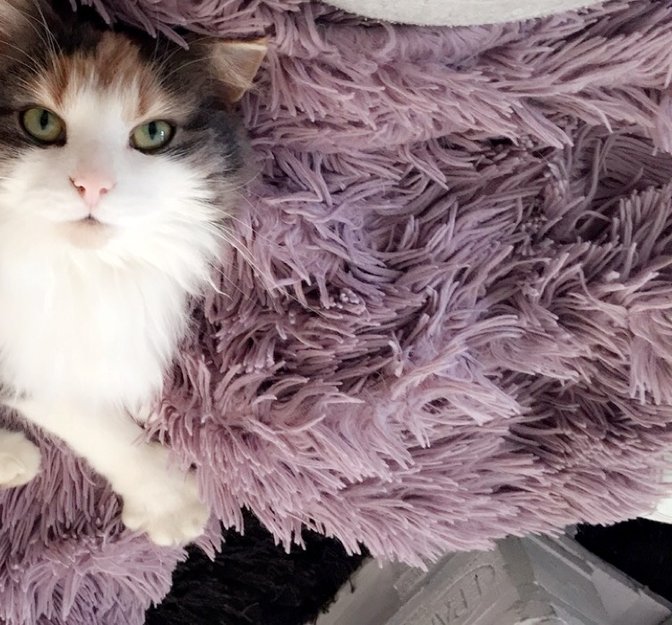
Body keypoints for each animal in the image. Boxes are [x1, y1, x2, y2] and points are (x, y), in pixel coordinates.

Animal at [0, 0, 265, 546]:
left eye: (153, 134)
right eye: (41, 121)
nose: (92, 185)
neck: (79, 270)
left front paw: (142, 397)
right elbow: (88, 419)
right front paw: (167, 501)